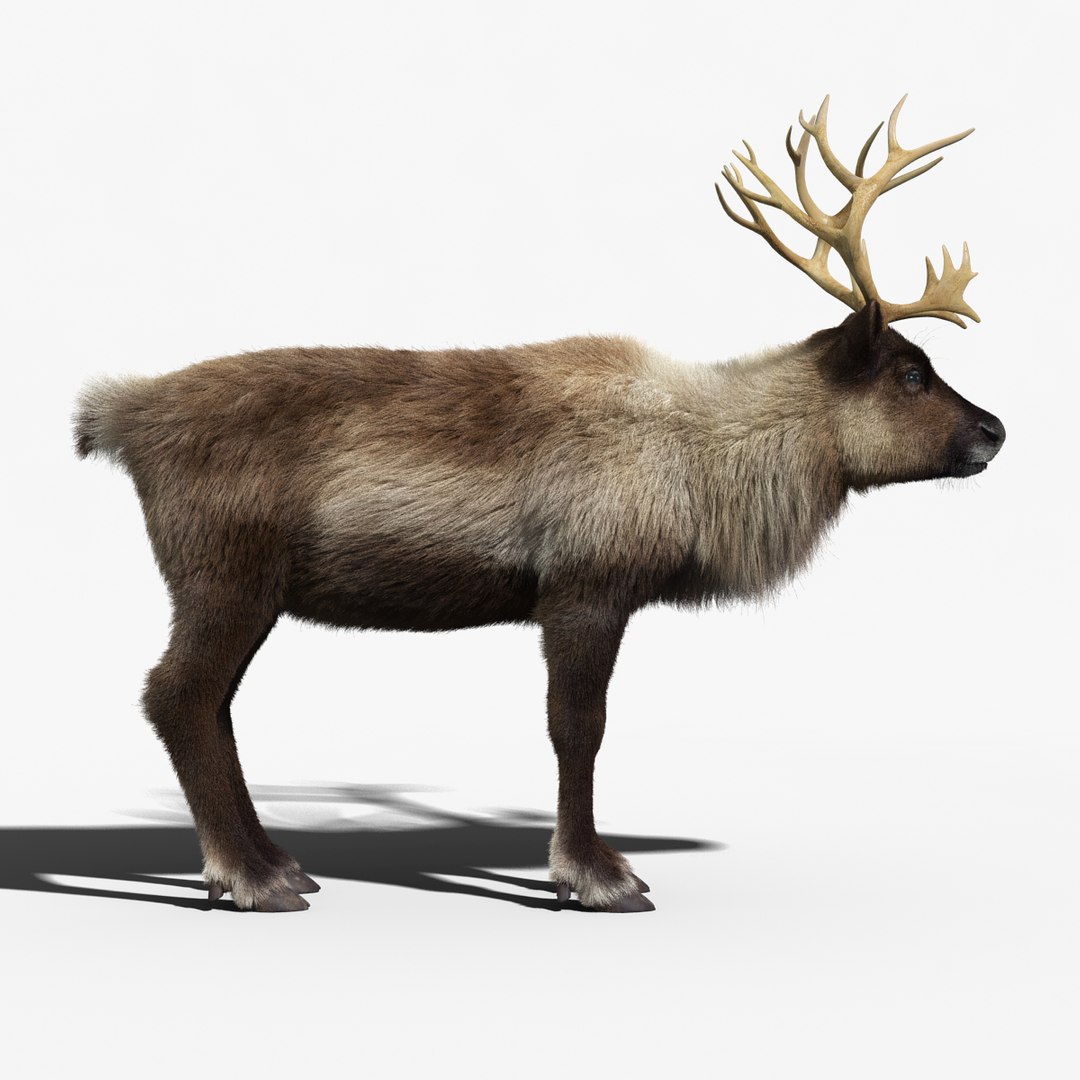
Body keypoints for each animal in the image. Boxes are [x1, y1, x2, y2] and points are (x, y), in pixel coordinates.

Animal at [74, 96, 1004, 914]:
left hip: (246, 587)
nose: (996, 430)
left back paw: (277, 862)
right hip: (224, 570)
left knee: (214, 703)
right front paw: (596, 876)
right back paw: (248, 877)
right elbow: (577, 727)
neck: (707, 466)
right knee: (177, 694)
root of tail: (121, 414)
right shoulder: (585, 585)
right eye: (910, 373)